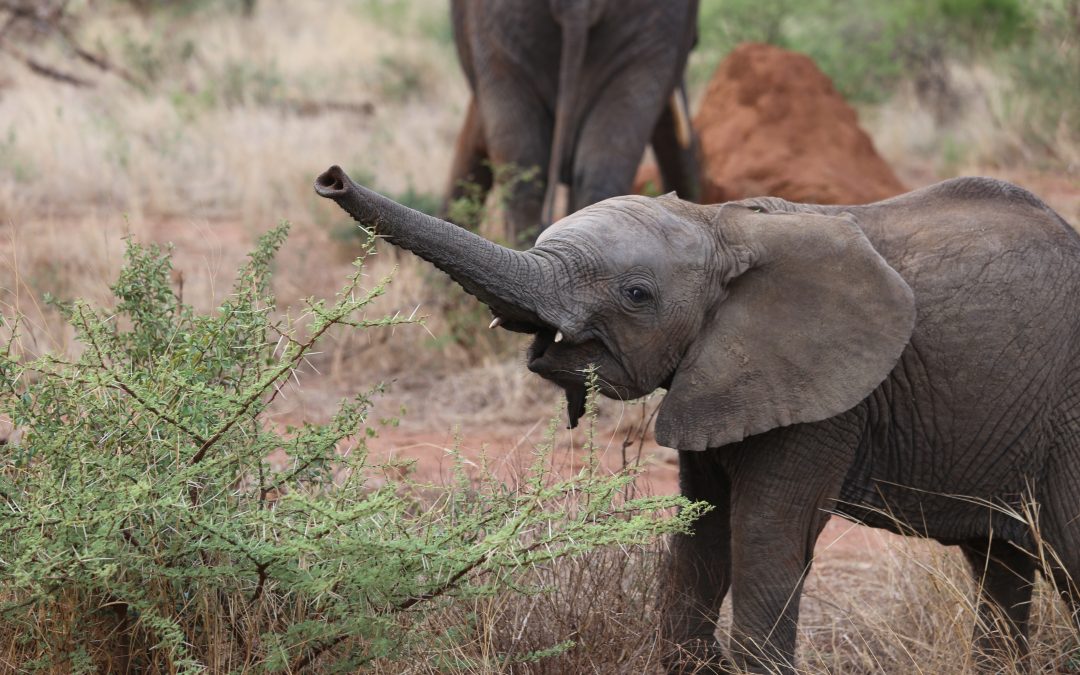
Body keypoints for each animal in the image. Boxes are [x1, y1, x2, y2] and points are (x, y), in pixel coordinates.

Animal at [315, 165, 1080, 673]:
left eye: (636, 294)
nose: (331, 178)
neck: (726, 224)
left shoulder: (828, 400)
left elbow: (765, 538)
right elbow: (700, 538)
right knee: (1001, 566)